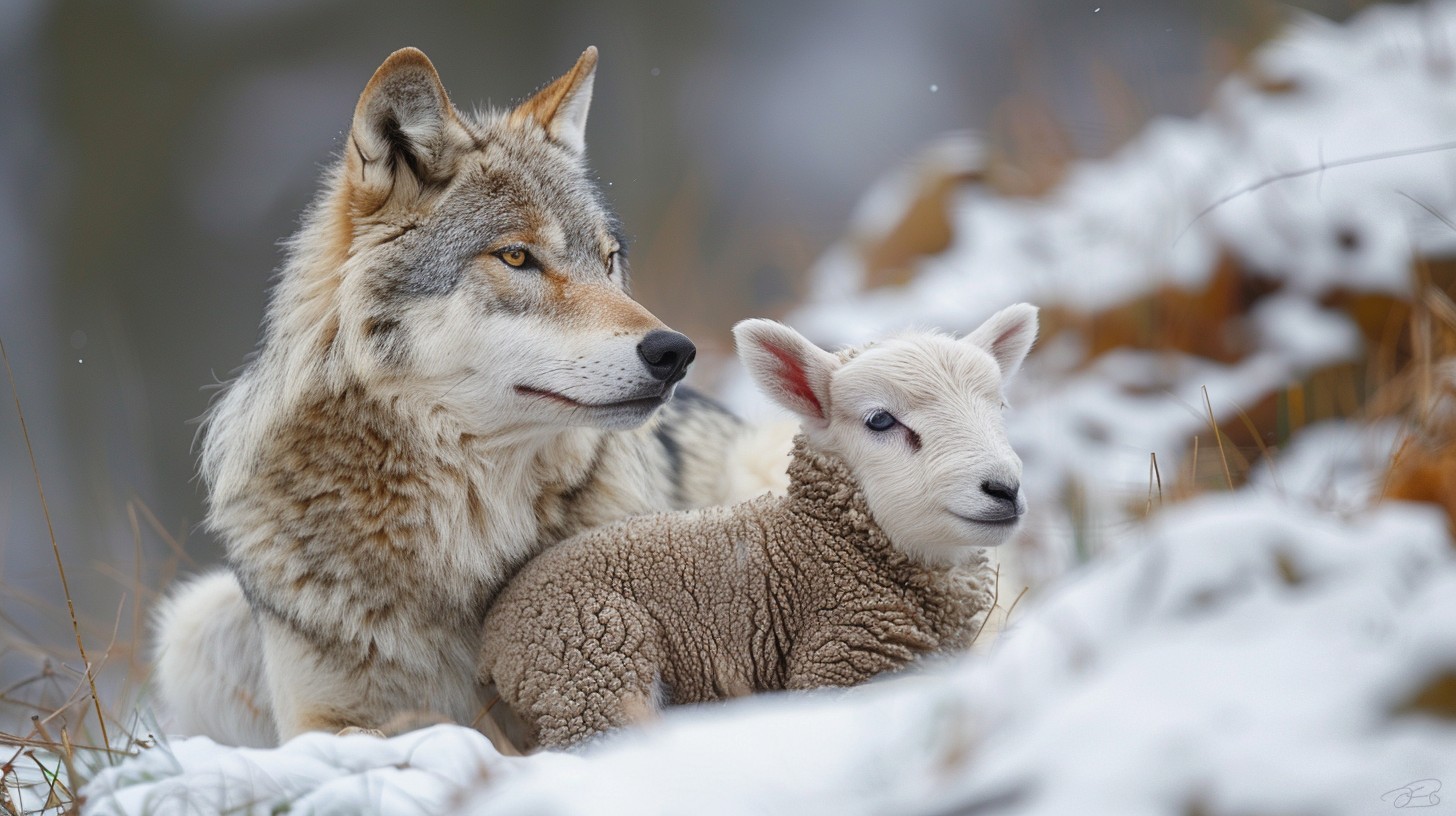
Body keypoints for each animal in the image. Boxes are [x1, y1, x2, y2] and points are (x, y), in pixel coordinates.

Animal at [153, 46, 793, 747]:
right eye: (516, 256)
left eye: (608, 260)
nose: (675, 352)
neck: (464, 524)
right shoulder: (319, 723)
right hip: (192, 626)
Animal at [478, 304, 1038, 750]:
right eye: (880, 420)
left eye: (1000, 407)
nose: (1004, 489)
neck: (824, 539)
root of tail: (494, 630)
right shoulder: (837, 661)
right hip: (589, 666)